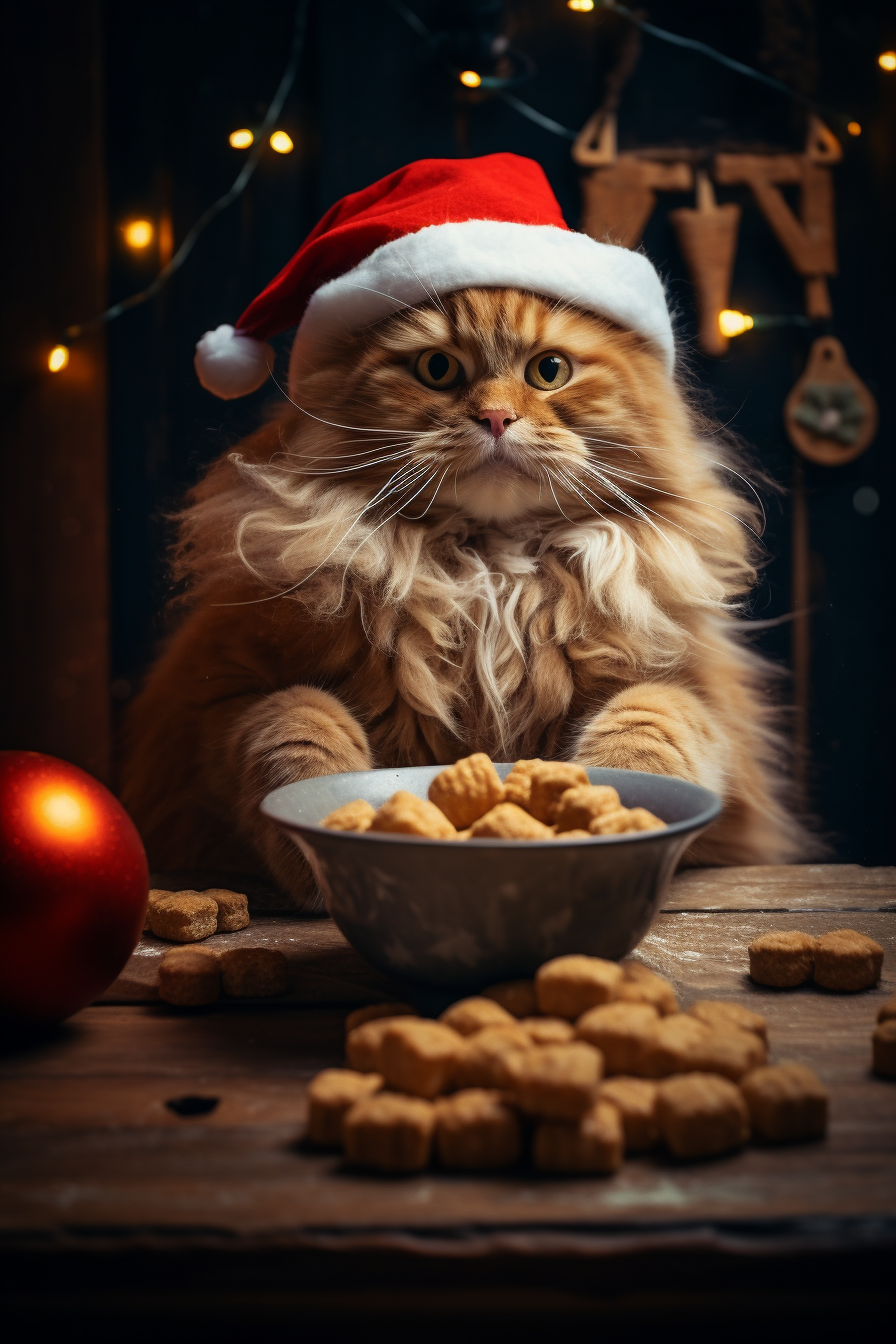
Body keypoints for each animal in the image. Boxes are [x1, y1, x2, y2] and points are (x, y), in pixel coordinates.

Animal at [124, 280, 811, 913]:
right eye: (438, 369)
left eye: (549, 372)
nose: (497, 419)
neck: (491, 574)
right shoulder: (215, 701)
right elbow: (295, 721)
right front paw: (319, 836)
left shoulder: (704, 701)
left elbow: (650, 719)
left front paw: (611, 807)